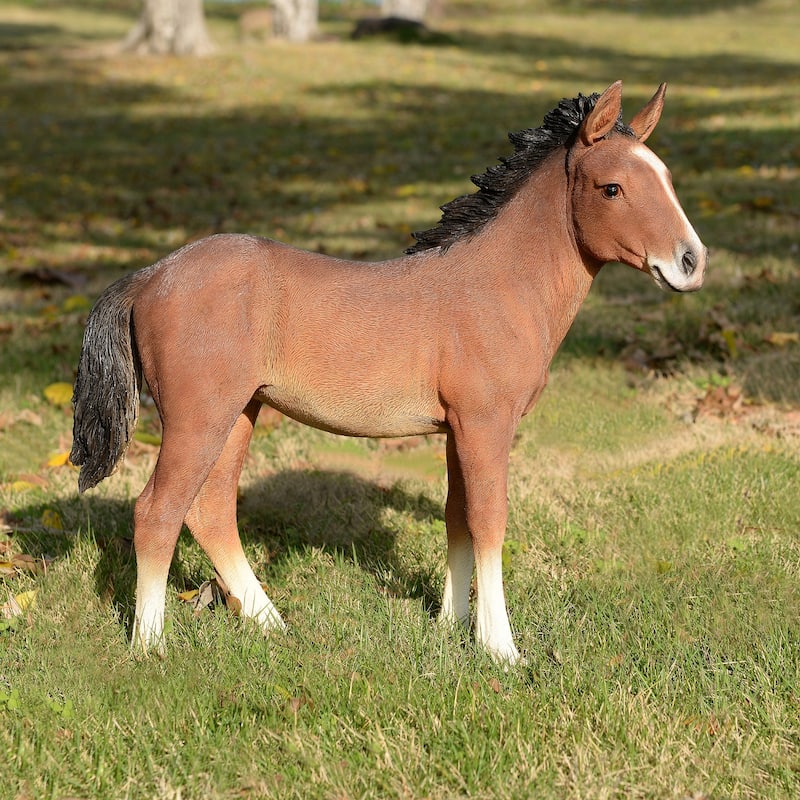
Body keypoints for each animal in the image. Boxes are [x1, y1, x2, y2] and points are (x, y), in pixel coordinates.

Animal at [70, 81, 706, 664]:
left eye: (668, 178)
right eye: (612, 187)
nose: (691, 263)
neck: (498, 285)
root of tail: (152, 276)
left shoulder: (456, 429)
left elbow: (456, 518)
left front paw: (451, 627)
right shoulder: (486, 424)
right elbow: (490, 520)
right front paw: (500, 648)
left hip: (239, 414)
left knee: (210, 511)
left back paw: (274, 625)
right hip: (198, 418)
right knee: (157, 511)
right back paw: (149, 645)